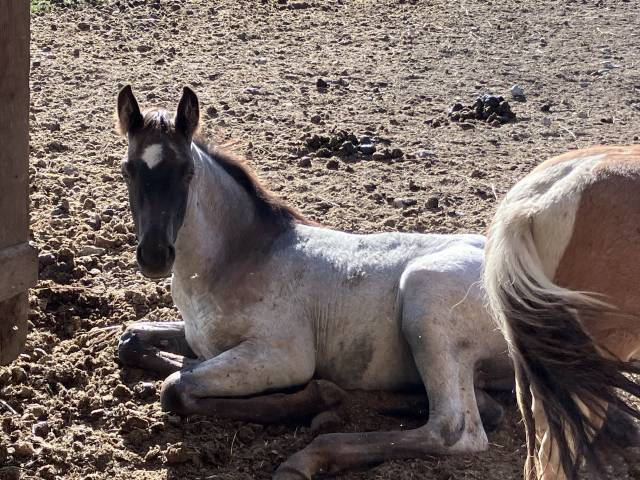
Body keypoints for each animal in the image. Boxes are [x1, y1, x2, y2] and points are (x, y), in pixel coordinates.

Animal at [114, 85, 513, 479]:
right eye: (127, 170)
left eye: (187, 172)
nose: (154, 254)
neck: (238, 261)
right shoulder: (199, 337)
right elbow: (132, 339)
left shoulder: (283, 356)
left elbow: (176, 387)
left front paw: (313, 398)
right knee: (485, 407)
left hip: (425, 302)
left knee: (453, 431)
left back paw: (310, 455)